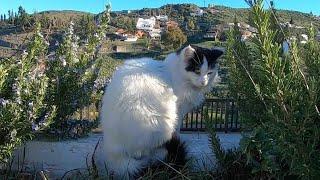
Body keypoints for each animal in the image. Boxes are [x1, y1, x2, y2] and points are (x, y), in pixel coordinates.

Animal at [101, 44, 224, 178]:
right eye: (197, 71)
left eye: (209, 72)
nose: (203, 82)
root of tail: (114, 153)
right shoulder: (179, 110)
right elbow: (177, 129)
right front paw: (177, 136)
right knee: (143, 153)